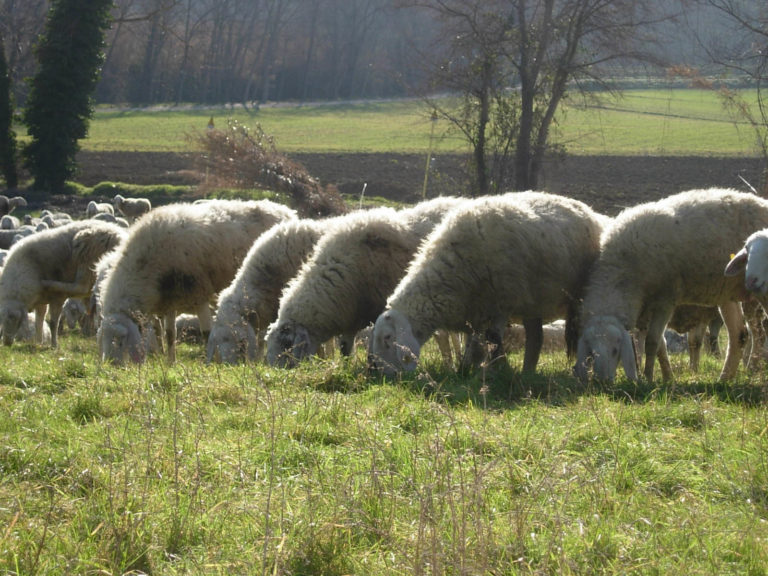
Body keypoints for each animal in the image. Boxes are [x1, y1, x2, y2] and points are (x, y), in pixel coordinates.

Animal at [98, 196, 294, 362]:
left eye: (121, 340)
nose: (111, 364)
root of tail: (284, 209)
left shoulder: (199, 293)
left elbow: (207, 333)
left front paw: (213, 361)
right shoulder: (170, 298)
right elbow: (170, 334)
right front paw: (171, 363)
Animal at [368, 191, 608, 376]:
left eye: (388, 338)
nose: (377, 372)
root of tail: (585, 208)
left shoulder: (502, 301)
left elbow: (493, 340)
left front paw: (496, 370)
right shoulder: (475, 311)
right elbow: (473, 344)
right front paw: (466, 369)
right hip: (532, 301)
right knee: (535, 338)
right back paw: (527, 373)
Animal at [576, 189, 768, 388]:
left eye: (616, 350)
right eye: (590, 352)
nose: (602, 382)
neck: (623, 273)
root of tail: (763, 202)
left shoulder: (665, 300)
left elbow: (652, 342)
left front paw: (648, 377)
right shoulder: (646, 311)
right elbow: (660, 345)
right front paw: (667, 377)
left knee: (758, 334)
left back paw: (753, 369)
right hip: (726, 292)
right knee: (739, 334)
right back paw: (724, 379)